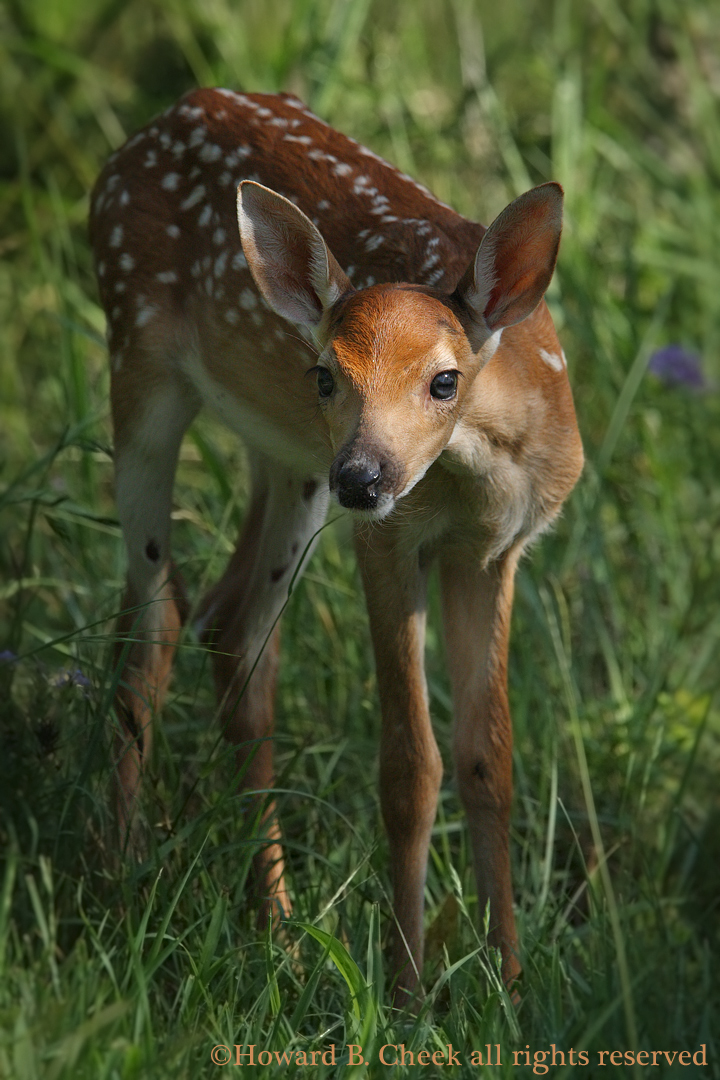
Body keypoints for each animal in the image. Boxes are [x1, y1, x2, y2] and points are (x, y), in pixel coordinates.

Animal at [89, 86, 583, 1005]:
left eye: (444, 379)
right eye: (324, 373)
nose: (363, 475)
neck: (475, 474)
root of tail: (161, 116)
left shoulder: (494, 553)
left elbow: (489, 758)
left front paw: (509, 985)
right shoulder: (387, 542)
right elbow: (411, 769)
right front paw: (407, 993)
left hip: (288, 465)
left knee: (235, 630)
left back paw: (278, 931)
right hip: (140, 363)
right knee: (152, 621)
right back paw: (121, 880)